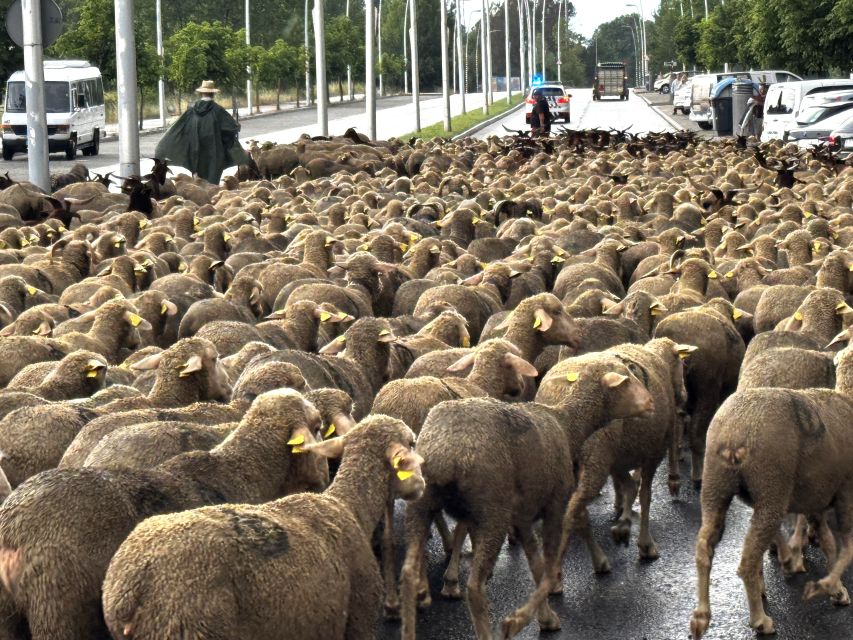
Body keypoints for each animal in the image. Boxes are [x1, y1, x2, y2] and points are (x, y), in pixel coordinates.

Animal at [101, 414, 425, 640]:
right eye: (412, 444)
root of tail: (133, 590)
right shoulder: (357, 617)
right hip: (191, 626)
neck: (348, 506)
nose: (421, 486)